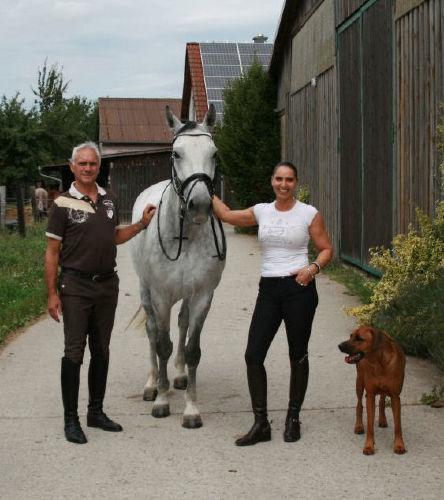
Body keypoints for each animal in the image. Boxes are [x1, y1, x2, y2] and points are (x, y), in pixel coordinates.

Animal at [128, 103, 225, 428]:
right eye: (176, 154)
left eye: (214, 153)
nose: (200, 205)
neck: (185, 235)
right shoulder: (160, 296)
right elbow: (162, 344)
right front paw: (161, 400)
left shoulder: (203, 295)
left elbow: (192, 349)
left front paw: (191, 409)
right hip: (146, 292)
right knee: (152, 332)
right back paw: (152, 383)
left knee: (181, 324)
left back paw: (179, 376)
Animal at [340, 326, 406, 456]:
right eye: (351, 336)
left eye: (359, 338)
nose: (339, 346)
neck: (379, 362)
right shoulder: (370, 395)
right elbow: (370, 425)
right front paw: (369, 446)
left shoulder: (395, 396)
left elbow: (398, 426)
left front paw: (399, 445)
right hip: (359, 382)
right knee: (359, 404)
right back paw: (359, 426)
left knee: (382, 400)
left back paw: (382, 419)